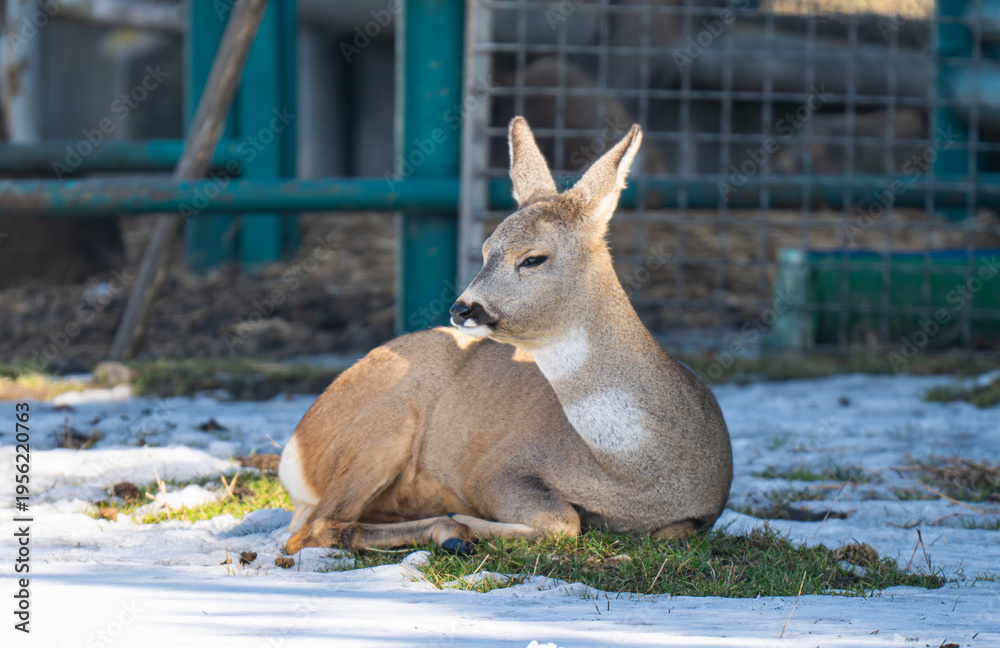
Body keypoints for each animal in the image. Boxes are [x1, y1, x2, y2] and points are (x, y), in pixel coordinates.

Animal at [279, 117, 732, 555]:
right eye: (485, 249)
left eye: (533, 258)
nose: (462, 308)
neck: (633, 474)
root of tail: (294, 451)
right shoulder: (495, 469)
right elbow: (565, 521)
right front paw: (466, 520)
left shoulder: (702, 515)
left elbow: (670, 531)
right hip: (383, 428)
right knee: (310, 529)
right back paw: (450, 532)